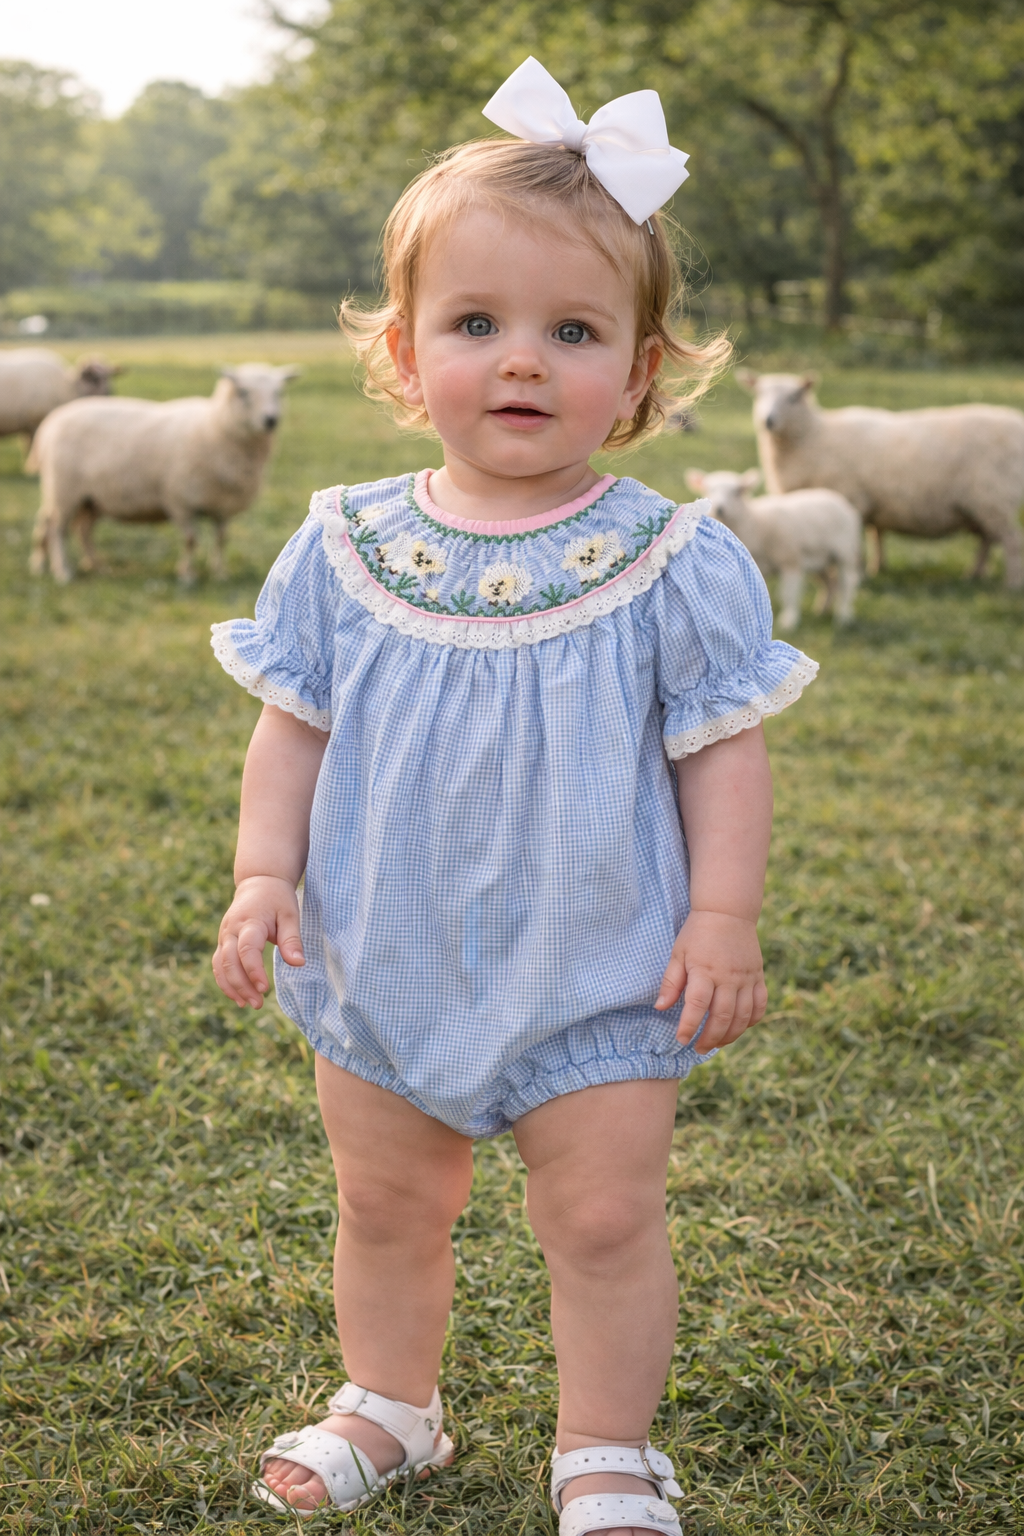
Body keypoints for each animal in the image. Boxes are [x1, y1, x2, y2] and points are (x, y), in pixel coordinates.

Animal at [28, 363, 299, 584]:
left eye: (280, 392)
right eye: (243, 392)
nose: (270, 420)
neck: (215, 428)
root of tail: (50, 424)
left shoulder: (222, 505)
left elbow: (222, 540)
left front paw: (220, 574)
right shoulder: (180, 500)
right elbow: (190, 540)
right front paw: (187, 576)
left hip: (89, 498)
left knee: (76, 528)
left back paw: (88, 565)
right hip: (64, 490)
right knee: (57, 529)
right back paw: (63, 571)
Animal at [685, 467, 862, 630]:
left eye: (738, 492)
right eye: (708, 489)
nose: (719, 509)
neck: (755, 523)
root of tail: (839, 500)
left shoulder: (790, 560)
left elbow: (788, 594)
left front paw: (789, 620)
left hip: (845, 551)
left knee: (847, 582)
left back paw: (844, 617)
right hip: (819, 559)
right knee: (830, 582)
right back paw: (822, 609)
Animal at [737, 370, 1024, 588]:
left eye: (794, 397)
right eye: (758, 394)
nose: (768, 421)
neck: (814, 436)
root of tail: (1016, 422)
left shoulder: (851, 499)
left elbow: (859, 542)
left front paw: (859, 574)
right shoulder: (870, 503)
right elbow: (876, 535)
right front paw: (877, 568)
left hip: (993, 495)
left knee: (1012, 541)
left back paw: (1010, 586)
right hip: (985, 502)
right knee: (988, 539)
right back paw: (974, 575)